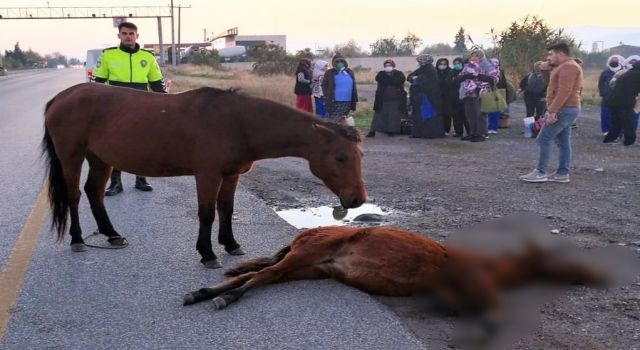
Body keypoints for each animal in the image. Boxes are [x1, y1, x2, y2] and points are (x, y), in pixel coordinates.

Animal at [42, 82, 368, 268]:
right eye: (340, 157)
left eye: (360, 157)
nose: (357, 199)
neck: (238, 123)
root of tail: (61, 97)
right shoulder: (208, 175)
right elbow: (207, 213)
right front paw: (208, 253)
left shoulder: (231, 175)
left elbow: (226, 209)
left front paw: (231, 244)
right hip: (72, 156)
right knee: (74, 195)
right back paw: (77, 239)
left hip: (100, 159)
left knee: (94, 192)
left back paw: (111, 235)